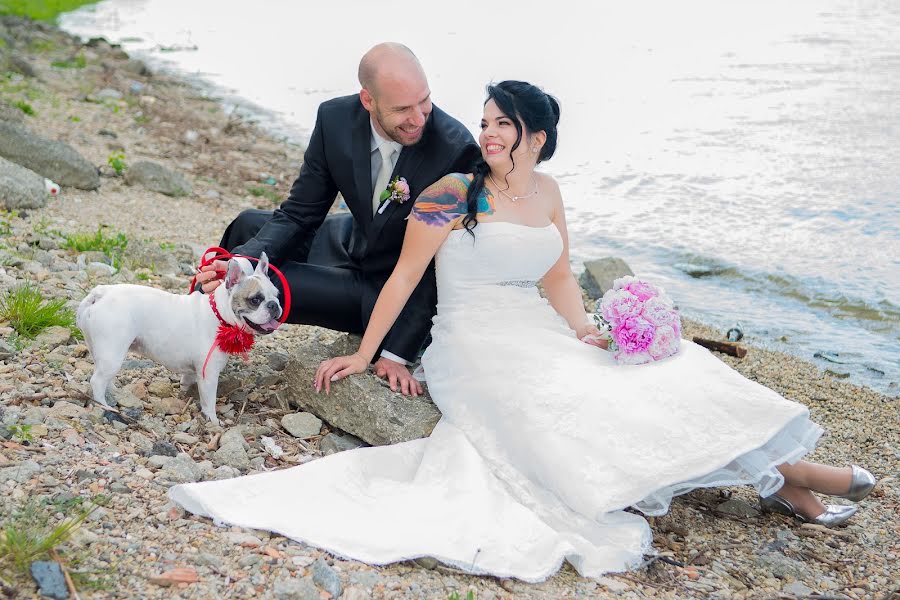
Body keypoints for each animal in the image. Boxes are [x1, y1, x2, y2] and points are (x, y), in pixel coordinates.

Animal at [77, 251, 282, 424]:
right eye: (255, 300)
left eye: (277, 295)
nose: (274, 305)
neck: (220, 313)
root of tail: (101, 293)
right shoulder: (209, 374)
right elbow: (208, 400)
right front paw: (213, 421)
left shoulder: (194, 371)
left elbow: (186, 381)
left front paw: (184, 395)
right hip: (113, 352)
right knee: (97, 381)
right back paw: (104, 406)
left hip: (100, 349)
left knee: (102, 374)